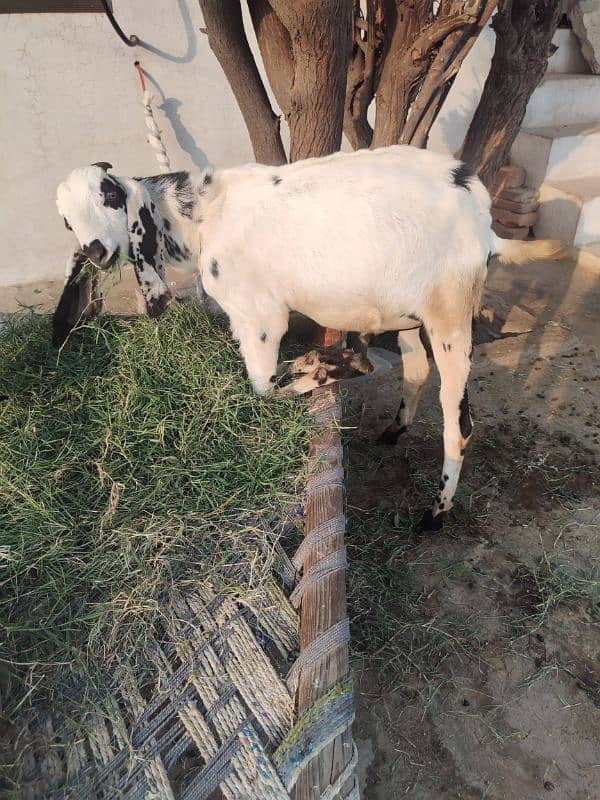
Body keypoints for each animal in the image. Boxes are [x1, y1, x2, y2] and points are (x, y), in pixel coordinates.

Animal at [56, 148, 568, 532]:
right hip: (411, 314)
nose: (95, 252)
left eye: (109, 195)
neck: (202, 217)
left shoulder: (260, 317)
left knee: (458, 423)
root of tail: (484, 223)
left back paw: (435, 513)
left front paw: (322, 369)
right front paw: (329, 363)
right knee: (417, 370)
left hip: (451, 316)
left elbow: (264, 389)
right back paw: (392, 428)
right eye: (65, 220)